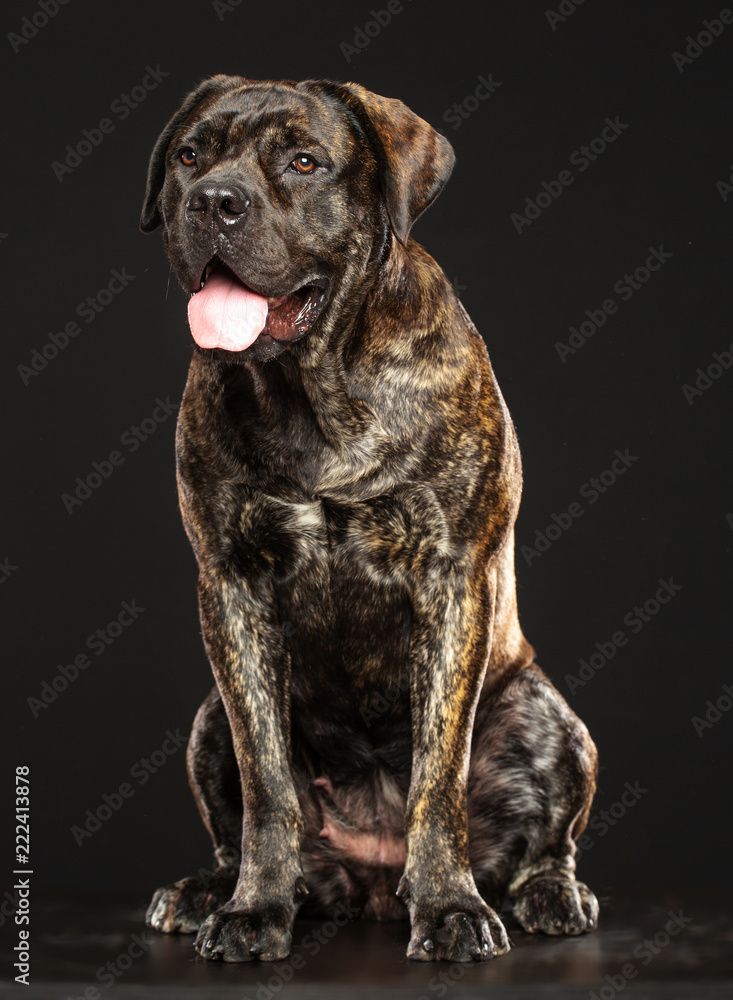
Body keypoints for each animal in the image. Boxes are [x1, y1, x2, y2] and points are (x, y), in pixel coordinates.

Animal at [140, 74, 596, 964]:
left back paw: (549, 894)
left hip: (544, 714)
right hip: (208, 719)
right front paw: (254, 910)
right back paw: (209, 890)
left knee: (545, 844)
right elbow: (267, 786)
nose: (213, 201)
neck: (312, 388)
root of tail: (374, 887)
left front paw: (450, 907)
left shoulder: (451, 578)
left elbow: (436, 777)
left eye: (303, 161)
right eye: (189, 156)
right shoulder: (232, 586)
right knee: (237, 820)